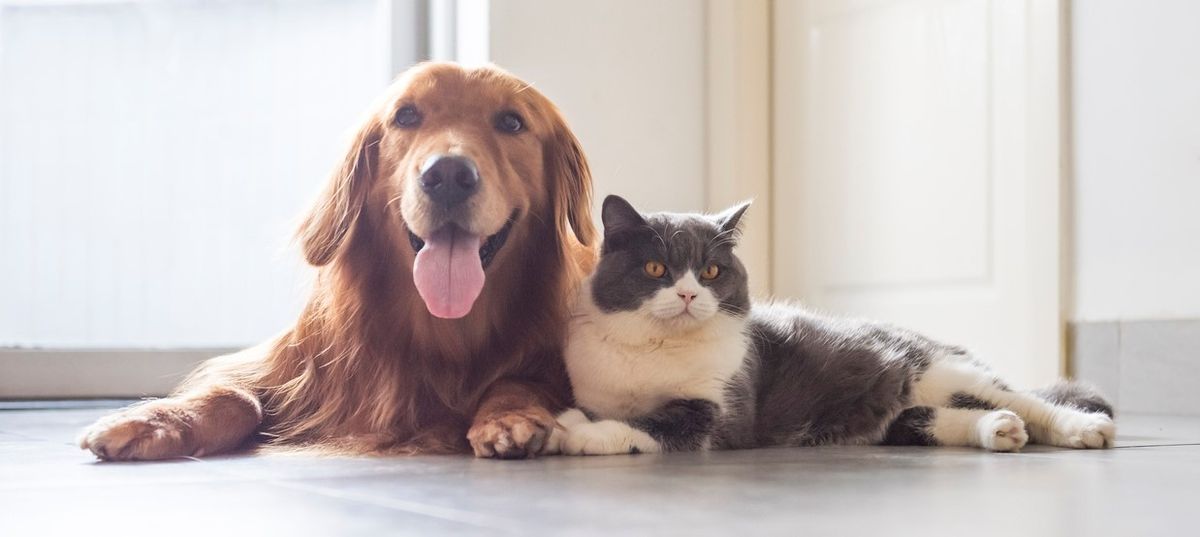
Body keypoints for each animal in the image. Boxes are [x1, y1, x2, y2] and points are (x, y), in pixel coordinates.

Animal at [78, 61, 595, 457]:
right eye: (406, 116)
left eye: (511, 123)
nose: (448, 175)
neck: (441, 334)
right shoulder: (291, 366)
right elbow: (237, 394)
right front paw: (154, 419)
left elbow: (517, 380)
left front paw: (508, 416)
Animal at [544, 195, 1113, 455]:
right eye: (655, 269)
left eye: (711, 272)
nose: (687, 294)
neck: (655, 349)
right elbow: (614, 411)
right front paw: (568, 421)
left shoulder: (721, 411)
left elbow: (653, 425)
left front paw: (575, 432)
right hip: (896, 411)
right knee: (925, 420)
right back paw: (998, 430)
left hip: (941, 369)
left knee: (1030, 401)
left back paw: (1082, 428)